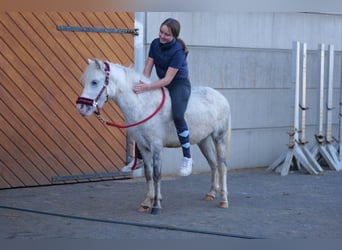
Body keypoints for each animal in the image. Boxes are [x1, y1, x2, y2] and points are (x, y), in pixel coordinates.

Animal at [77, 58, 232, 215]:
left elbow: (157, 174)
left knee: (222, 166)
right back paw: (211, 193)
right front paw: (146, 202)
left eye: (94, 82)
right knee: (213, 164)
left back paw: (224, 200)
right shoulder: (143, 146)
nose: (81, 108)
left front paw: (156, 205)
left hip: (219, 137)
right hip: (203, 140)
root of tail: (221, 97)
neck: (143, 104)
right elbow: (148, 174)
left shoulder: (156, 146)